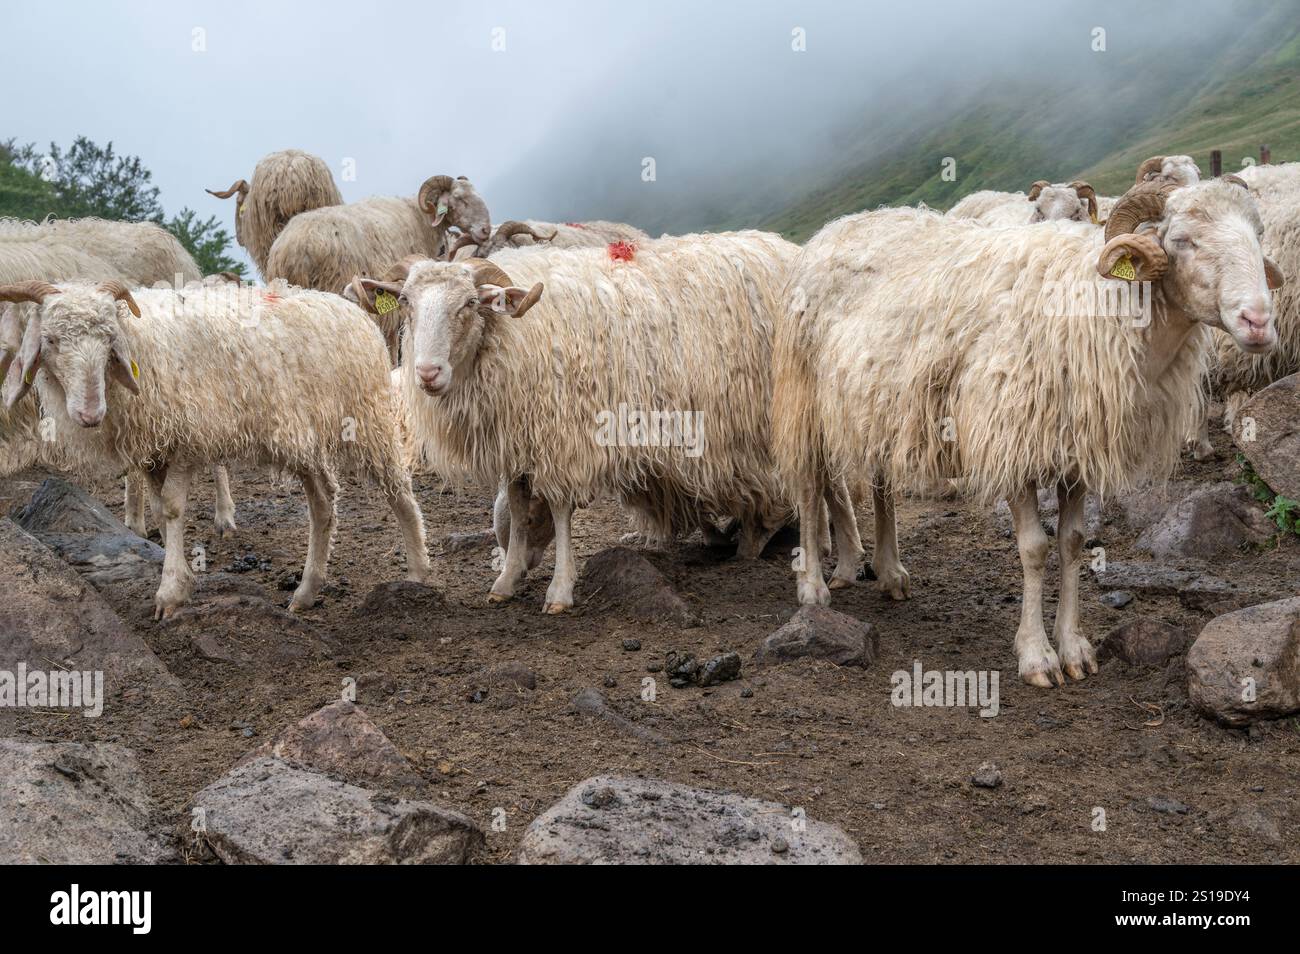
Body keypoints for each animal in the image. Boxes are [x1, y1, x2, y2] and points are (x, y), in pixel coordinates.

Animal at [0, 276, 436, 623]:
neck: (141, 344)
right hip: (304, 439)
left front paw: (170, 592)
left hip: (367, 419)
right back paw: (307, 591)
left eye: (109, 340)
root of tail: (351, 310)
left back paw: (418, 573)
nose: (90, 412)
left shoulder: (190, 438)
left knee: (400, 493)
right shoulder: (153, 449)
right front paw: (180, 578)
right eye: (51, 340)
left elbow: (172, 508)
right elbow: (157, 509)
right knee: (324, 503)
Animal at [353, 233, 800, 616]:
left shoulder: (563, 436)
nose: (428, 373)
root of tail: (784, 248)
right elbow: (517, 504)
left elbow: (560, 509)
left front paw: (559, 590)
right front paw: (506, 580)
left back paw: (755, 539)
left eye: (469, 302)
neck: (509, 333)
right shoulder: (517, 441)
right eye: (405, 300)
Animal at [774, 178, 1284, 686]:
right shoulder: (1011, 442)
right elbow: (1035, 549)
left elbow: (1073, 543)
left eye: (1259, 234)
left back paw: (889, 571)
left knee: (879, 482)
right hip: (805, 399)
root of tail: (838, 227)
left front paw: (1074, 647)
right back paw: (813, 586)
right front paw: (1037, 655)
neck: (1102, 306)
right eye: (1181, 240)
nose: (1259, 322)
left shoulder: (1077, 456)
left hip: (877, 405)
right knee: (808, 486)